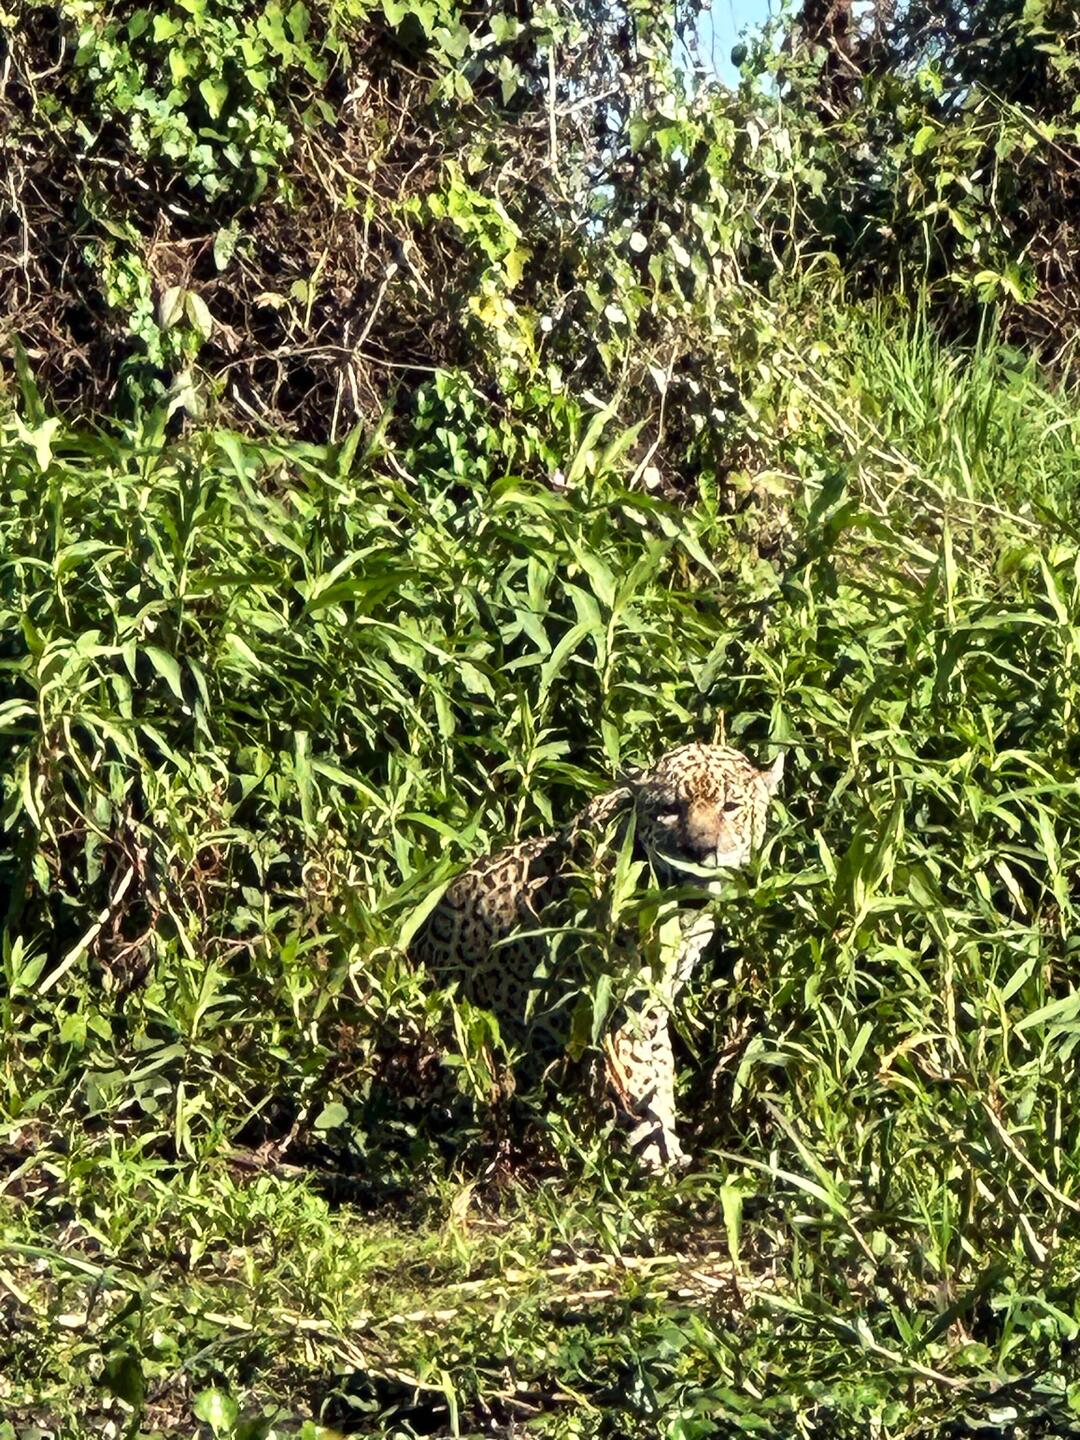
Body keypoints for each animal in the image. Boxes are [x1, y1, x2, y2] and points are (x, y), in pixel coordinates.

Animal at [410, 742, 783, 1171]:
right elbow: (641, 1084)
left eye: (731, 806)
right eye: (670, 809)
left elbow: (660, 1070)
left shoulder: (654, 1002)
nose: (699, 850)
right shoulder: (617, 1011)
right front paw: (657, 1165)